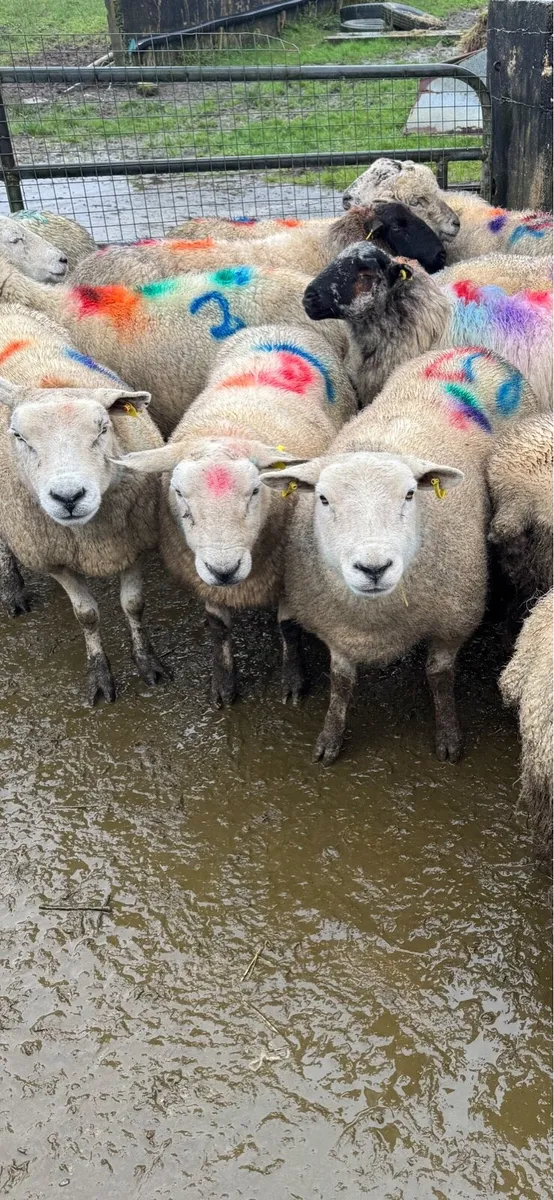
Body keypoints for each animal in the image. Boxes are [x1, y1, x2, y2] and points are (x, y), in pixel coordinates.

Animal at [0, 302, 165, 703]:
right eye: (18, 436)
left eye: (103, 429)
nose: (69, 496)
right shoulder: (54, 557)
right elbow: (87, 615)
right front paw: (100, 675)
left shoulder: (132, 543)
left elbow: (133, 604)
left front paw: (147, 662)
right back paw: (13, 589)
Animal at [115, 323, 357, 704]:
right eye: (179, 494)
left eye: (255, 491)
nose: (224, 570)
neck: (229, 428)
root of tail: (278, 327)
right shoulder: (200, 573)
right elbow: (218, 628)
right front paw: (224, 684)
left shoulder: (286, 571)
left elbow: (288, 627)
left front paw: (293, 681)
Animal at [260, 347, 538, 765]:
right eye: (322, 498)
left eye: (409, 494)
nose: (373, 568)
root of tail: (473, 350)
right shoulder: (339, 628)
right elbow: (341, 684)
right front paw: (330, 738)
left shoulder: (453, 620)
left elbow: (439, 677)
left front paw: (448, 736)